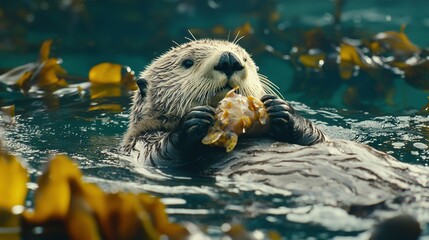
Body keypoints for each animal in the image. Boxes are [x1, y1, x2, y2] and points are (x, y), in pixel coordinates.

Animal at [121, 39, 428, 208]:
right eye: (186, 62)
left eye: (245, 58)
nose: (230, 59)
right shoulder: (139, 145)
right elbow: (161, 156)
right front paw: (194, 121)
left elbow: (320, 138)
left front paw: (283, 112)